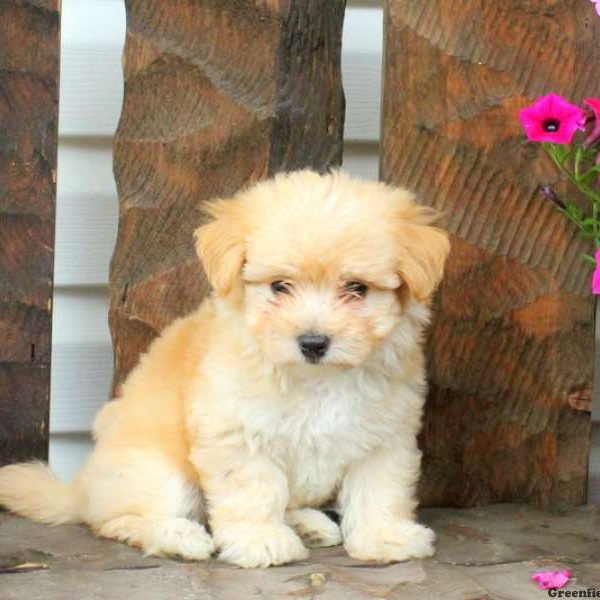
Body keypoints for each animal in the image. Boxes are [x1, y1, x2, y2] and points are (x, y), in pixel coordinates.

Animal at [0, 169, 450, 568]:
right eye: (280, 287)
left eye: (357, 288)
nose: (313, 342)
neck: (314, 379)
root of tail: (81, 488)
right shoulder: (237, 432)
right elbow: (255, 491)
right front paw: (261, 540)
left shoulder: (385, 434)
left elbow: (379, 489)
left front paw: (384, 536)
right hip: (154, 473)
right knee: (117, 518)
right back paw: (178, 537)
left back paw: (306, 524)